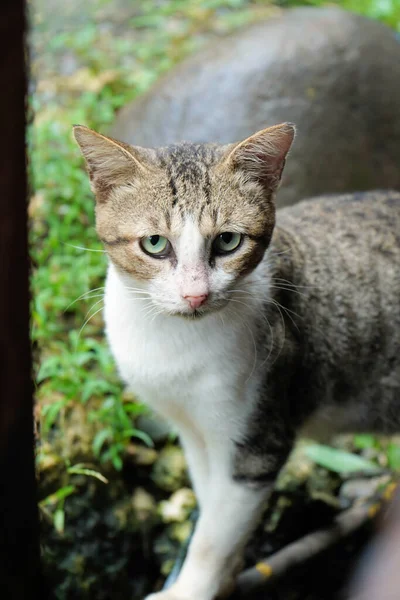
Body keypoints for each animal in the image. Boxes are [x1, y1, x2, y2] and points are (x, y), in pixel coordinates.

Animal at [73, 123, 400, 600]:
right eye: (155, 243)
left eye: (228, 240)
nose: (195, 294)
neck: (174, 346)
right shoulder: (193, 432)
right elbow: (211, 505)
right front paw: (226, 578)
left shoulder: (257, 439)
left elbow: (215, 534)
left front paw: (191, 589)